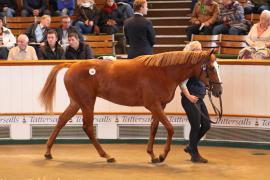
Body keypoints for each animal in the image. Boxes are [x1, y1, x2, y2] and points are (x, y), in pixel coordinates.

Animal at [39, 50, 223, 163]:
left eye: (218, 67)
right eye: (211, 68)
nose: (218, 91)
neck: (163, 72)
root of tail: (71, 65)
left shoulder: (159, 106)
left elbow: (154, 128)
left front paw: (152, 155)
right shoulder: (153, 105)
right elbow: (170, 128)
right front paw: (162, 155)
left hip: (76, 102)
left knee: (62, 120)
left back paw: (48, 152)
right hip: (87, 102)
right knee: (88, 127)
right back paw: (107, 155)